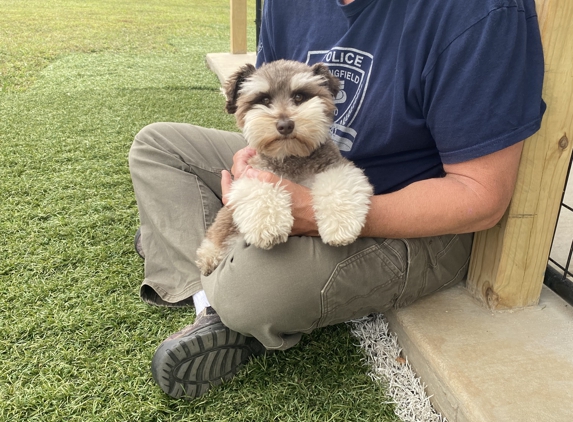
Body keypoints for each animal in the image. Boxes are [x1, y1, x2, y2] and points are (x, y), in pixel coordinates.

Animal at [197, 60, 374, 276]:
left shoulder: (337, 167)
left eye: (299, 96)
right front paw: (267, 225)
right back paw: (209, 254)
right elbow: (259, 190)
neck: (291, 156)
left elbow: (337, 187)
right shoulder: (252, 173)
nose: (285, 125)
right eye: (264, 99)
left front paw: (341, 225)